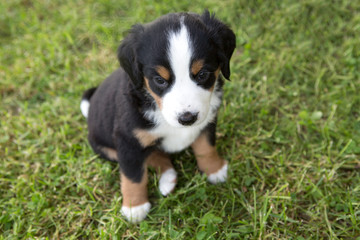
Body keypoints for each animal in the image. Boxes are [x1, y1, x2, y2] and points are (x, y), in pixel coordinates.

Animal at [80, 10, 235, 222]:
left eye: (203, 74)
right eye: (160, 80)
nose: (187, 118)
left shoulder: (207, 121)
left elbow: (206, 147)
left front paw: (215, 169)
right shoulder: (128, 141)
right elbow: (133, 176)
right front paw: (134, 207)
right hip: (106, 148)